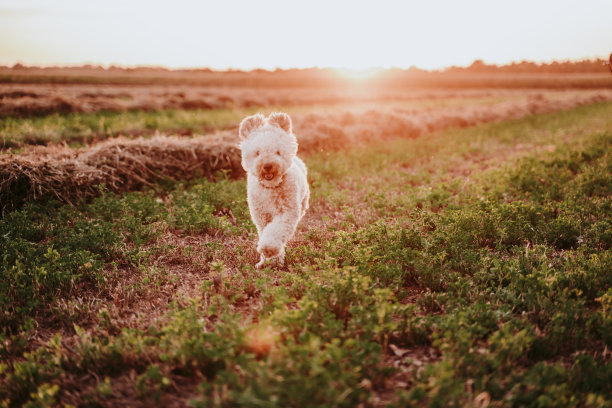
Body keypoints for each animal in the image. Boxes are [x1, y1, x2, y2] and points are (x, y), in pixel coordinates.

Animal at [238, 113, 308, 270]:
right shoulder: (261, 217)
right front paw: (267, 261)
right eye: (257, 153)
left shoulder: (287, 213)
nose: (268, 165)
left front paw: (269, 249)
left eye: (278, 152)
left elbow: (275, 232)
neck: (271, 187)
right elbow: (265, 232)